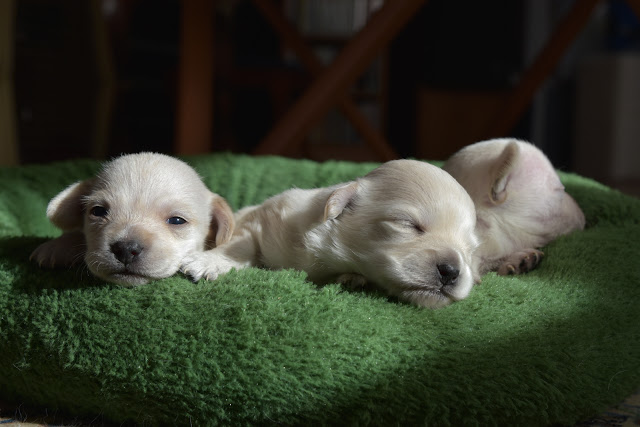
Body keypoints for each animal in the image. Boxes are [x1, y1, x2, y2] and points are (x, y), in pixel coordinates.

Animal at [181, 159, 480, 310]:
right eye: (408, 224)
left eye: (470, 251)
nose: (452, 271)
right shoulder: (260, 219)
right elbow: (241, 245)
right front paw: (209, 262)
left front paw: (353, 279)